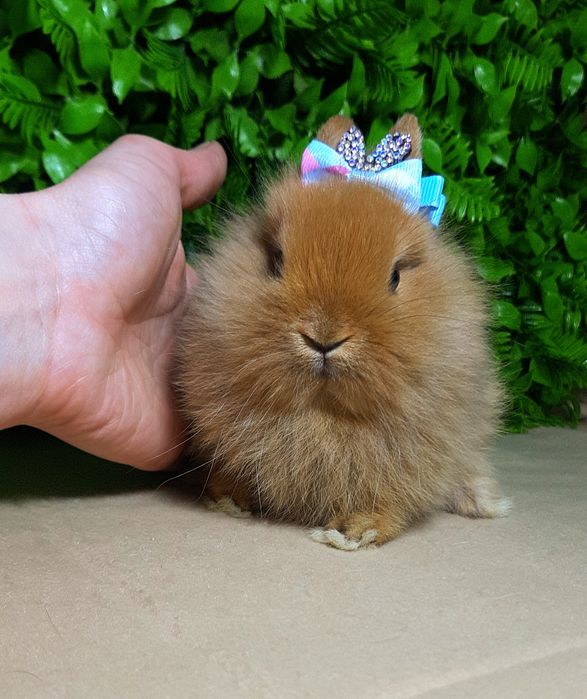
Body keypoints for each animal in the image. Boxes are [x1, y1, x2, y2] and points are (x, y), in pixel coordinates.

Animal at [174, 113, 510, 551]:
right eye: (276, 259)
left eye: (396, 275)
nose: (323, 337)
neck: (322, 415)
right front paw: (229, 499)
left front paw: (353, 530)